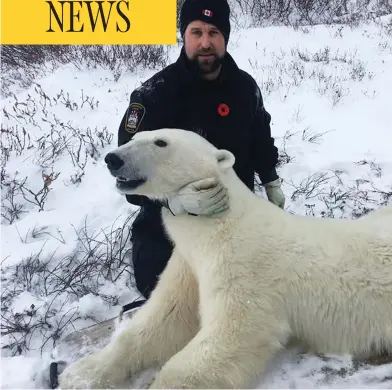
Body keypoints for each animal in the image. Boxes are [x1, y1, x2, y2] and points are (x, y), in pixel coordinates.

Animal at [59, 129, 392, 390]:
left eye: (160, 142)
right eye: (134, 137)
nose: (113, 158)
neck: (217, 227)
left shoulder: (242, 265)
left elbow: (235, 332)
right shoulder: (188, 264)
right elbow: (163, 320)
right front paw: (79, 375)